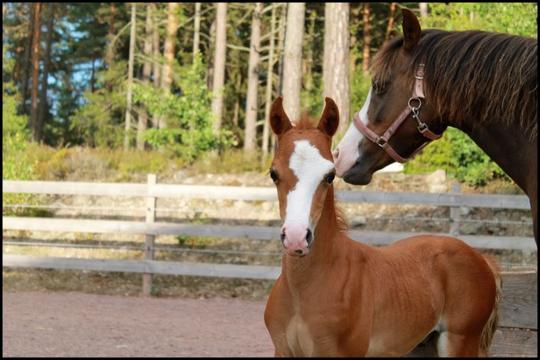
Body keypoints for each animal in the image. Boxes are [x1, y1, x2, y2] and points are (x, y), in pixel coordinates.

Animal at [264, 96, 500, 358]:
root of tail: (482, 259)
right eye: (274, 173)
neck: (303, 291)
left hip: (460, 341)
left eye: (330, 175)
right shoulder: (282, 351)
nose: (296, 239)